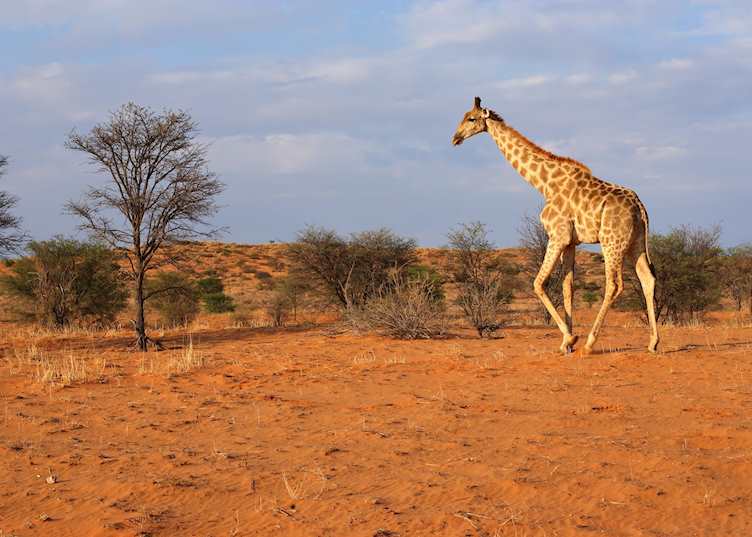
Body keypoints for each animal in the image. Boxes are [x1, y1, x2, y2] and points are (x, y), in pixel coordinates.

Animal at [452, 97, 659, 355]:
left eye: (471, 118)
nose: (455, 138)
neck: (544, 184)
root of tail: (640, 208)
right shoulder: (571, 242)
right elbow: (567, 286)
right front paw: (566, 343)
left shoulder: (557, 236)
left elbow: (538, 283)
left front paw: (571, 338)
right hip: (635, 243)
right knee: (647, 279)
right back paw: (653, 343)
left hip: (611, 242)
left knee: (614, 284)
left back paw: (590, 343)